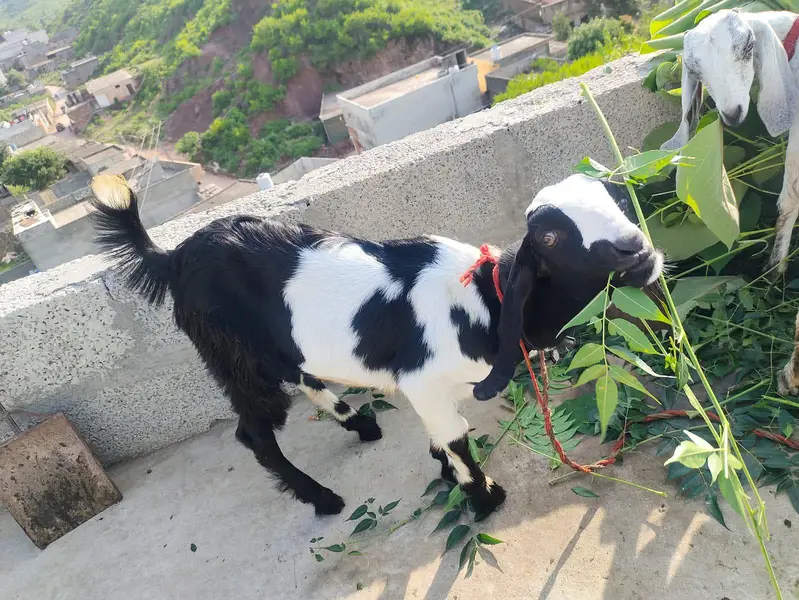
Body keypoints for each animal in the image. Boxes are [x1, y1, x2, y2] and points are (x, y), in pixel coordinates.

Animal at [89, 173, 663, 520]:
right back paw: (322, 498)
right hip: (234, 356)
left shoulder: (433, 389)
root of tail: (175, 256)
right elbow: (456, 437)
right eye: (549, 237)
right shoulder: (425, 382)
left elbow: (441, 435)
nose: (636, 250)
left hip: (278, 346)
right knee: (254, 433)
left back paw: (359, 423)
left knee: (304, 375)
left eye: (616, 197)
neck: (485, 298)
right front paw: (482, 496)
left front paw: (443, 470)